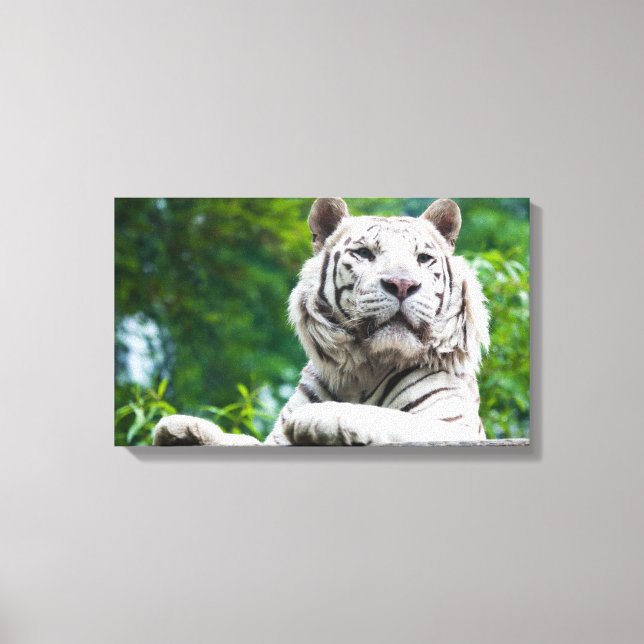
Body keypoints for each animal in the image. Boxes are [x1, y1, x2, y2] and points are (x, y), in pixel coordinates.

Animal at [153, 197, 490, 446]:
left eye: (423, 259)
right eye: (364, 253)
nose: (402, 284)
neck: (365, 369)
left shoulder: (454, 426)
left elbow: (392, 417)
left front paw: (320, 417)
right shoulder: (274, 441)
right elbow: (243, 439)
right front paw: (183, 427)